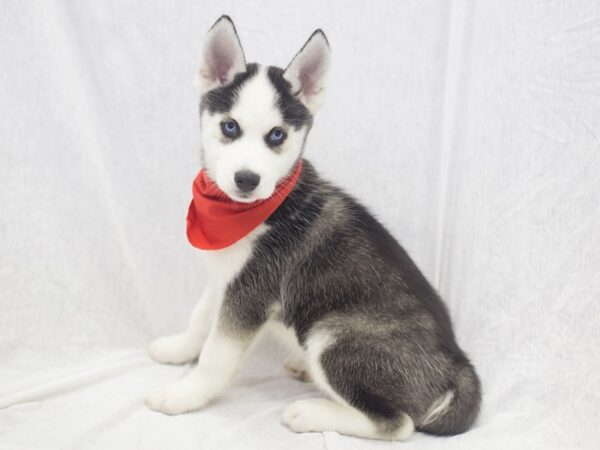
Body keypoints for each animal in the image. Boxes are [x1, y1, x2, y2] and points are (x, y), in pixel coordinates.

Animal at [143, 16, 480, 440]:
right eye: (230, 127)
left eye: (277, 135)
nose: (247, 179)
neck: (246, 214)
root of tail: (458, 364)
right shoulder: (226, 278)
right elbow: (201, 318)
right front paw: (178, 349)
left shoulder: (251, 293)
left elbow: (216, 356)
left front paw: (184, 394)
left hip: (331, 334)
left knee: (397, 423)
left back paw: (311, 412)